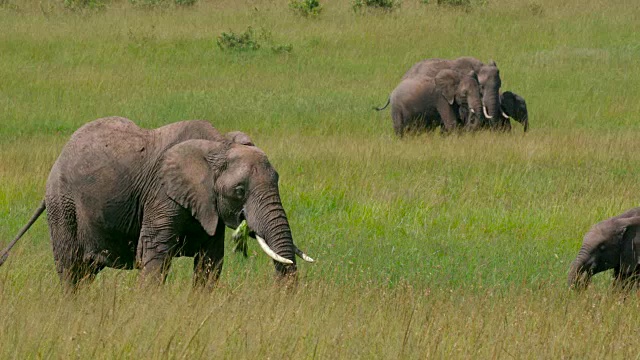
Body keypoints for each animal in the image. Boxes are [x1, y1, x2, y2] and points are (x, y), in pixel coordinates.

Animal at [0, 116, 314, 292]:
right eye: (239, 191)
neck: (218, 144)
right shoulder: (162, 194)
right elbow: (154, 255)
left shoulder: (207, 205)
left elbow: (210, 261)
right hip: (62, 204)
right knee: (71, 268)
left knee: (87, 271)